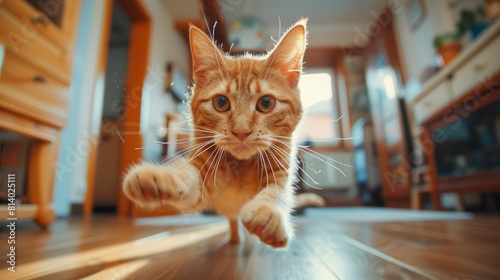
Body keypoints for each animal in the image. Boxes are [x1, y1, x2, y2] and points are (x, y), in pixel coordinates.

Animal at [122, 18, 308, 248]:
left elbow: (276, 193)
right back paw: (236, 238)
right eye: (221, 102)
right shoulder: (201, 176)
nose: (241, 131)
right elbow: (184, 174)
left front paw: (269, 214)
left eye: (266, 103)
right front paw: (158, 176)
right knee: (232, 220)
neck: (240, 165)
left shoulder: (280, 173)